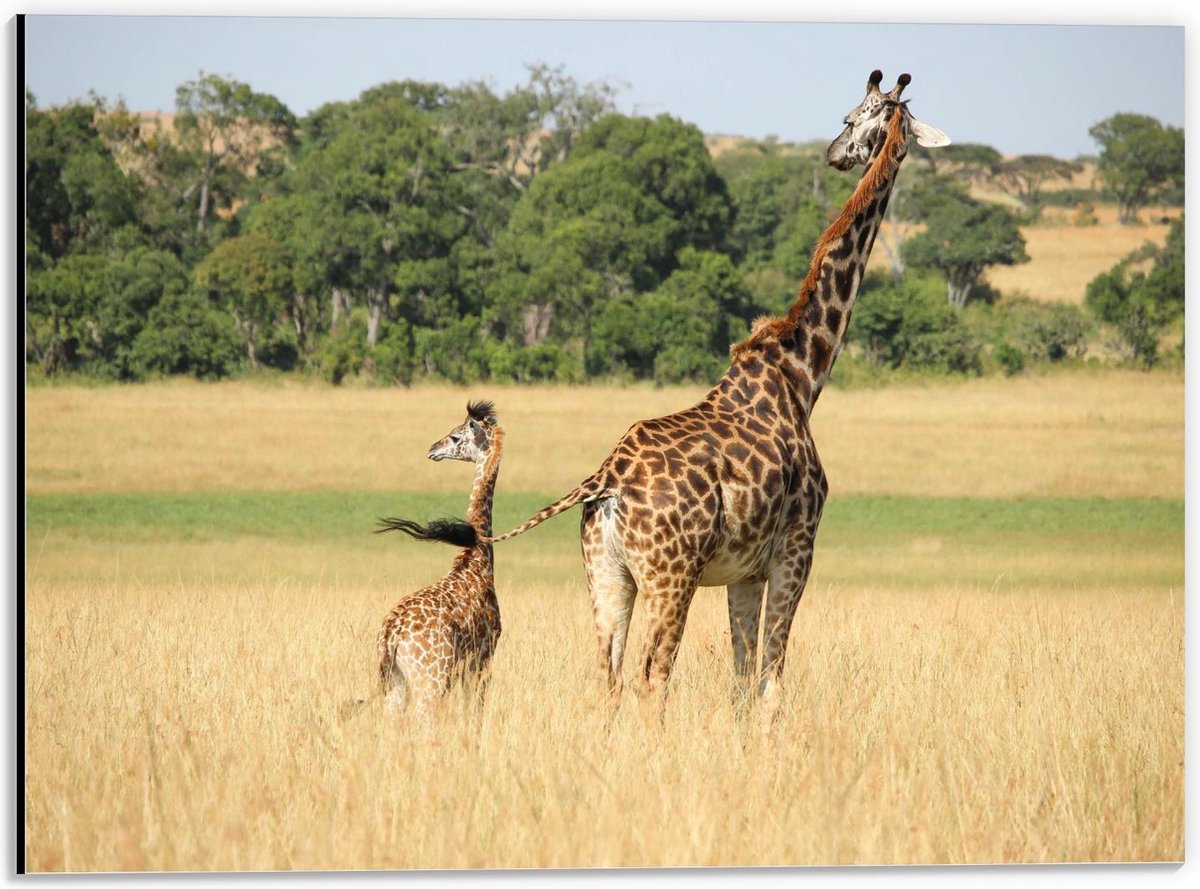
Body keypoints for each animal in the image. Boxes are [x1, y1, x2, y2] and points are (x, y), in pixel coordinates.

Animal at [370, 400, 505, 717]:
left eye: (455, 436)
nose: (433, 449)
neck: (477, 560)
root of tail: (390, 635)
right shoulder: (483, 657)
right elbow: (475, 712)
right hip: (431, 681)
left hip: (397, 682)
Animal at [405, 71, 949, 718]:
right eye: (853, 116)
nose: (836, 153)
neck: (803, 374)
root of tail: (605, 480)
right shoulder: (796, 550)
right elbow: (771, 678)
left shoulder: (745, 571)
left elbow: (741, 680)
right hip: (673, 576)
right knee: (652, 675)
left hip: (606, 574)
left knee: (609, 676)